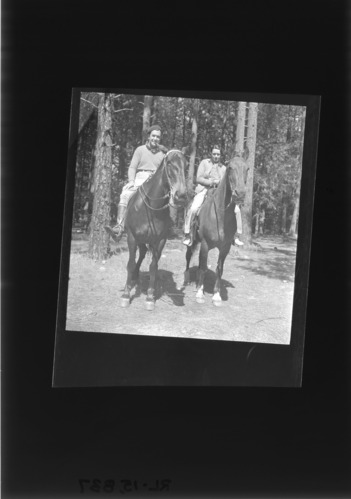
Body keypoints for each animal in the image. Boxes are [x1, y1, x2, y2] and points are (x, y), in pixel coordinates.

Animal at [121, 150, 188, 310]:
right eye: (169, 163)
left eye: (186, 165)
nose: (181, 196)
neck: (151, 208)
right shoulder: (131, 237)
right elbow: (130, 263)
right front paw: (126, 295)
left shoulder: (160, 240)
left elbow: (153, 267)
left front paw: (150, 297)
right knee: (139, 255)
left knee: (143, 253)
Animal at [183, 154, 249, 306]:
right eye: (230, 167)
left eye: (247, 168)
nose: (240, 193)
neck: (220, 214)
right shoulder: (205, 244)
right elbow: (203, 267)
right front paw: (200, 294)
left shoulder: (225, 248)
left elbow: (219, 269)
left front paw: (216, 296)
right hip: (193, 241)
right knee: (189, 257)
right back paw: (188, 279)